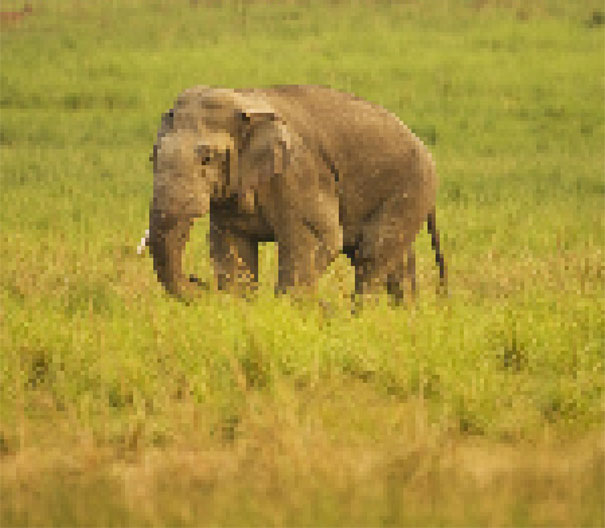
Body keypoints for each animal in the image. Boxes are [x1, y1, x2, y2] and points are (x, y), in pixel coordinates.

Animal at [146, 84, 446, 304]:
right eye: (153, 157)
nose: (198, 281)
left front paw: (287, 312)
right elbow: (231, 248)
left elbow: (316, 239)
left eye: (207, 158)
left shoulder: (298, 172)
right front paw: (240, 306)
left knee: (371, 256)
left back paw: (360, 317)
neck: (245, 99)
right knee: (397, 264)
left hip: (411, 187)